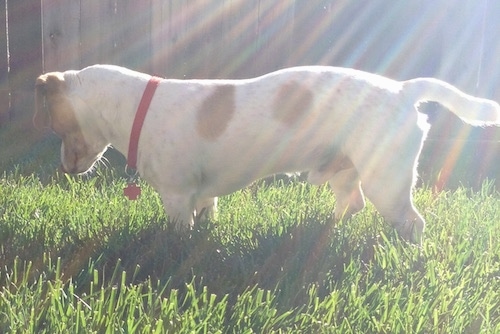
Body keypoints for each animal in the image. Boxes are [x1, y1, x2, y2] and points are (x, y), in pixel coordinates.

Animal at [35, 65, 500, 243]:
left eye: (57, 127)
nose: (64, 169)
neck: (138, 108)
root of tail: (403, 90)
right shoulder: (203, 194)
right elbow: (208, 214)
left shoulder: (177, 196)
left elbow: (179, 231)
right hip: (347, 173)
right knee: (351, 205)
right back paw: (321, 232)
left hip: (386, 181)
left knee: (411, 221)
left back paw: (407, 251)